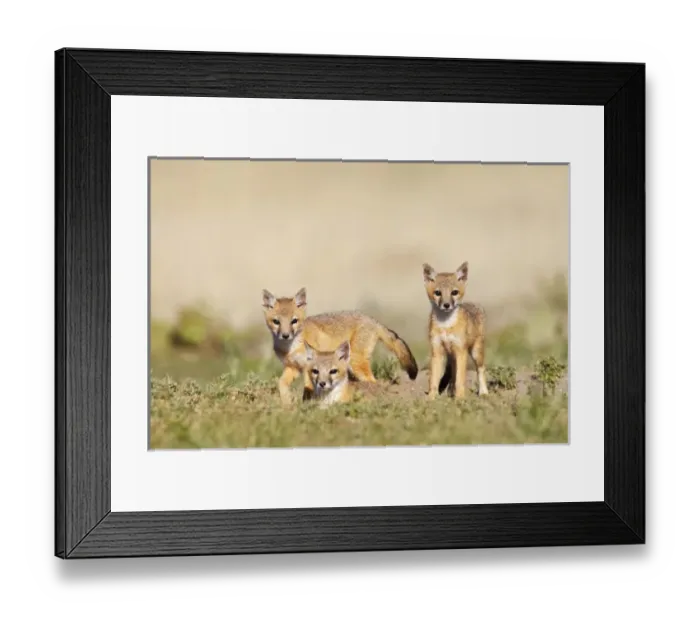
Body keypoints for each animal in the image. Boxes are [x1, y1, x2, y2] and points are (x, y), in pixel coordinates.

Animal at [262, 287, 419, 405]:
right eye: (276, 322)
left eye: (294, 321)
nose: (285, 335)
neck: (291, 347)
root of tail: (372, 320)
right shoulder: (292, 367)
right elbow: (281, 383)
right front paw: (287, 404)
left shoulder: (307, 367)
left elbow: (307, 388)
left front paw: (307, 405)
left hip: (356, 364)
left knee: (372, 381)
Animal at [422, 261, 489, 399]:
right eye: (438, 293)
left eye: (454, 292)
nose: (446, 305)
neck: (446, 325)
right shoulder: (437, 351)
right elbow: (434, 379)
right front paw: (431, 397)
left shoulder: (461, 351)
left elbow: (460, 379)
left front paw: (460, 398)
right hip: (451, 356)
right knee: (452, 373)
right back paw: (450, 392)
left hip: (476, 353)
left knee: (481, 369)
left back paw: (483, 392)